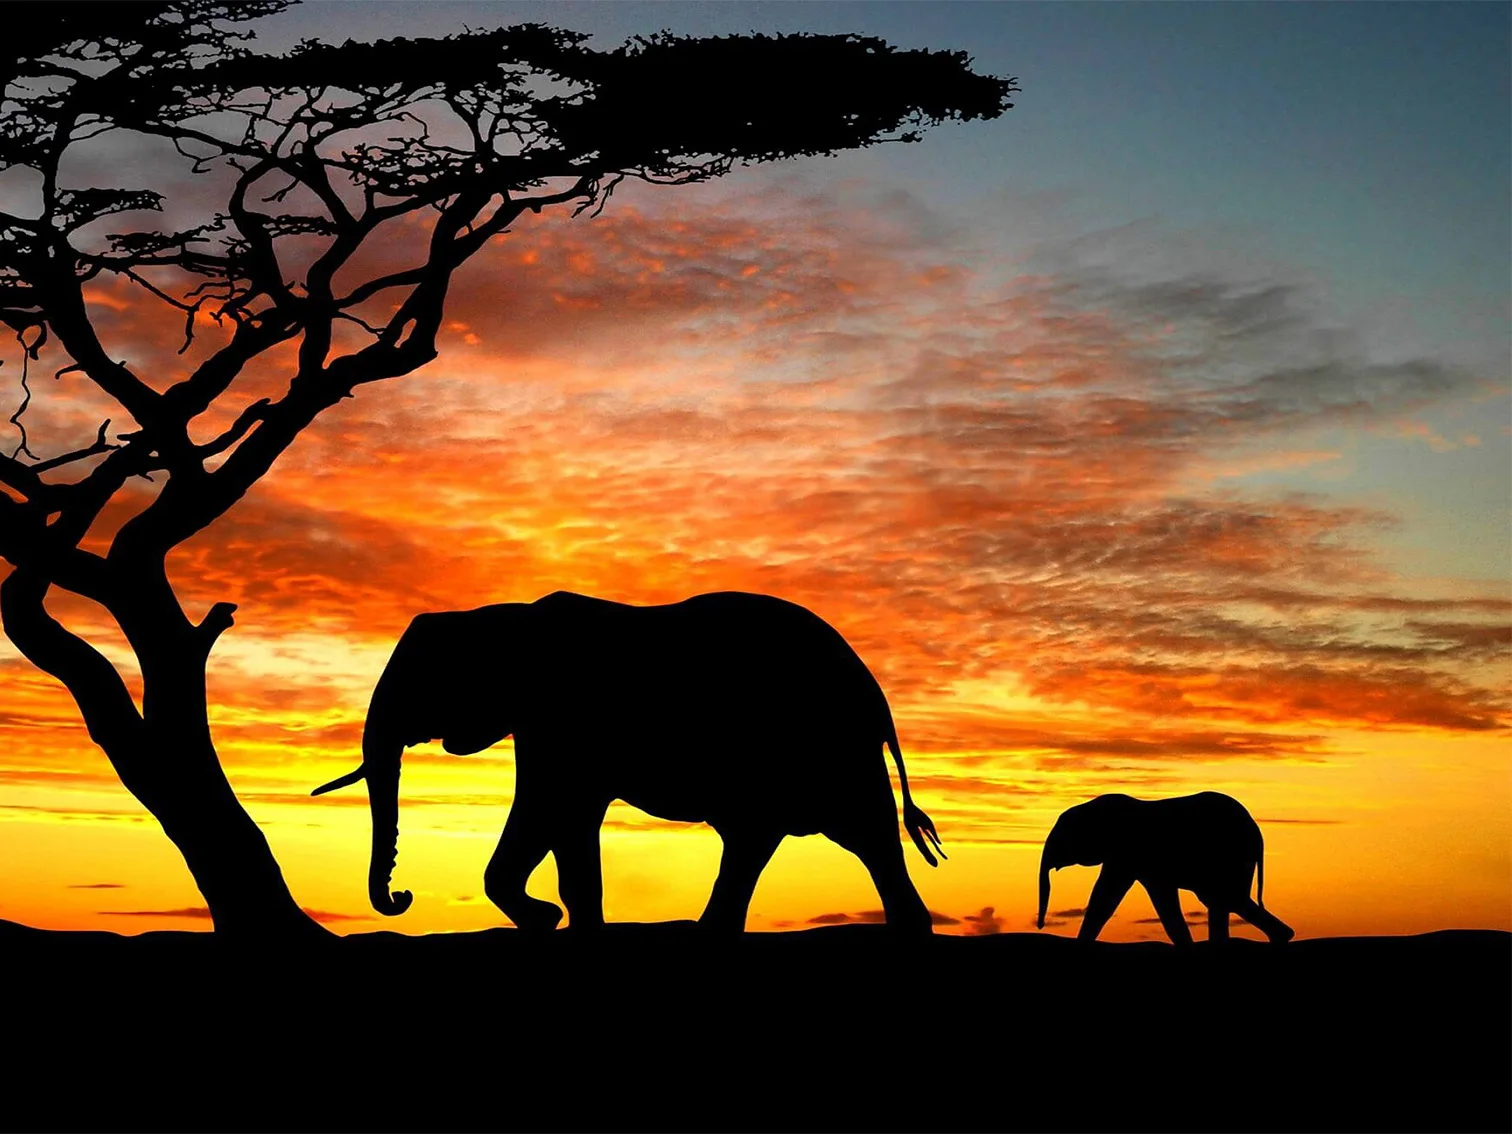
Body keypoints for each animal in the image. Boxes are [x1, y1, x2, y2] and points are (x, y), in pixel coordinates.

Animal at [313, 590, 945, 933]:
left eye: (421, 681)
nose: (402, 897)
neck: (501, 616)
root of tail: (876, 696)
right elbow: (554, 821)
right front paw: (551, 920)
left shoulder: (563, 719)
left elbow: (555, 812)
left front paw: (553, 920)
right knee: (775, 843)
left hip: (829, 749)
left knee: (859, 838)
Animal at [1036, 792, 1294, 945]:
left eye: (1062, 836)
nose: (1040, 926)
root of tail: (1258, 833)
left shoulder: (1127, 853)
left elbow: (1106, 897)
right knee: (1224, 900)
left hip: (1230, 857)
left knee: (1225, 899)